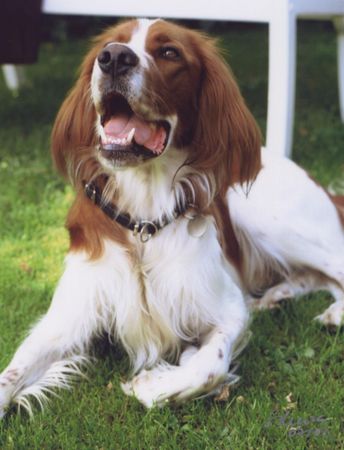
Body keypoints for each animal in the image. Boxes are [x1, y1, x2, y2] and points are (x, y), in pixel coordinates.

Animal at [0, 17, 344, 416]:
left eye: (169, 52)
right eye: (108, 47)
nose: (114, 58)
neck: (142, 220)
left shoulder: (228, 309)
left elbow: (209, 366)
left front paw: (154, 382)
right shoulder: (68, 316)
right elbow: (13, 371)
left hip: (268, 218)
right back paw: (279, 297)